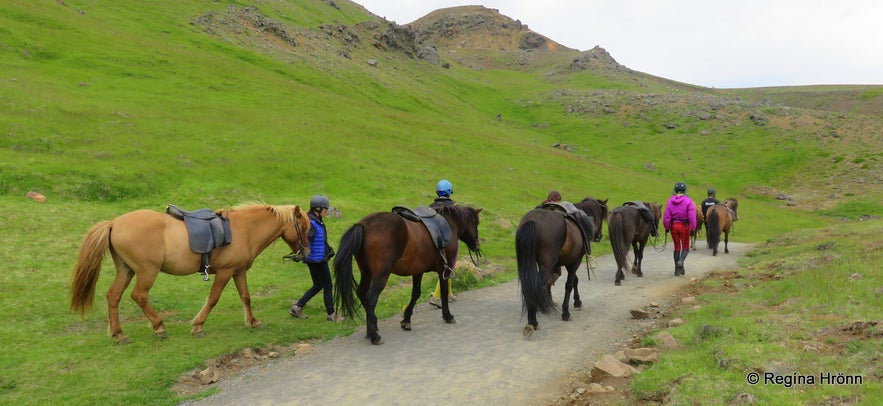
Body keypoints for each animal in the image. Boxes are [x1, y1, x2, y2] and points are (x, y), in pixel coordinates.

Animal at [69, 205, 310, 344]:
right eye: (306, 228)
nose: (306, 253)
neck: (244, 229)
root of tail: (114, 223)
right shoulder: (225, 272)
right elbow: (213, 298)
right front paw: (198, 325)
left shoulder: (239, 272)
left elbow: (246, 297)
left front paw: (252, 321)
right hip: (146, 272)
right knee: (139, 296)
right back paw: (159, 326)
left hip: (126, 270)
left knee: (114, 296)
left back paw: (119, 334)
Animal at [334, 205, 484, 344]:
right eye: (476, 224)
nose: (476, 244)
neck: (448, 224)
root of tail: (363, 225)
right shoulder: (444, 270)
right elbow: (444, 291)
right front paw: (447, 316)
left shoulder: (417, 271)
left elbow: (415, 294)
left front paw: (406, 320)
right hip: (381, 275)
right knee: (370, 298)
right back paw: (375, 336)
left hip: (366, 273)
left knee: (362, 295)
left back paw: (371, 330)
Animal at [516, 200, 596, 336]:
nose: (598, 235)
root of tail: (533, 221)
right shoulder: (575, 261)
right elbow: (569, 284)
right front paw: (566, 312)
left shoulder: (565, 263)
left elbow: (574, 280)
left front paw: (577, 301)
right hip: (547, 266)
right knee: (536, 287)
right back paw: (533, 322)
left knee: (529, 288)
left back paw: (532, 320)